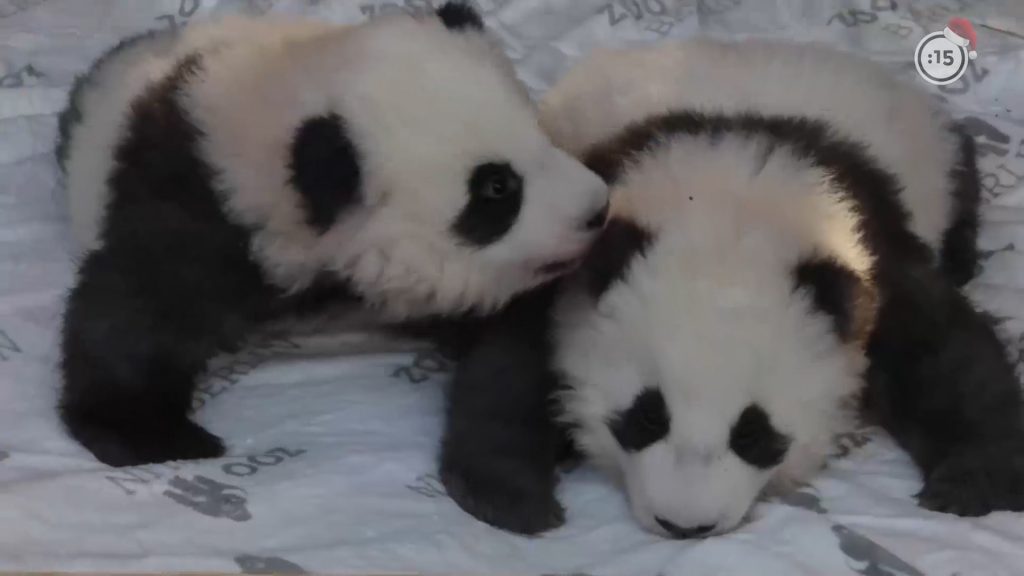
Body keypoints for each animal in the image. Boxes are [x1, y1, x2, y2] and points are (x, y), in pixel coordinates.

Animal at [55, 2, 609, 468]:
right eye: (496, 188)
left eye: (541, 134)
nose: (597, 210)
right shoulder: (200, 203)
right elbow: (133, 311)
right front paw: (149, 434)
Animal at [439, 39, 1024, 538]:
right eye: (646, 415)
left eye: (753, 433)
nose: (684, 526)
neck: (731, 200)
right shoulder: (581, 230)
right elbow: (512, 357)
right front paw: (511, 496)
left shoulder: (865, 240)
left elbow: (941, 354)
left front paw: (969, 483)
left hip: (935, 154)